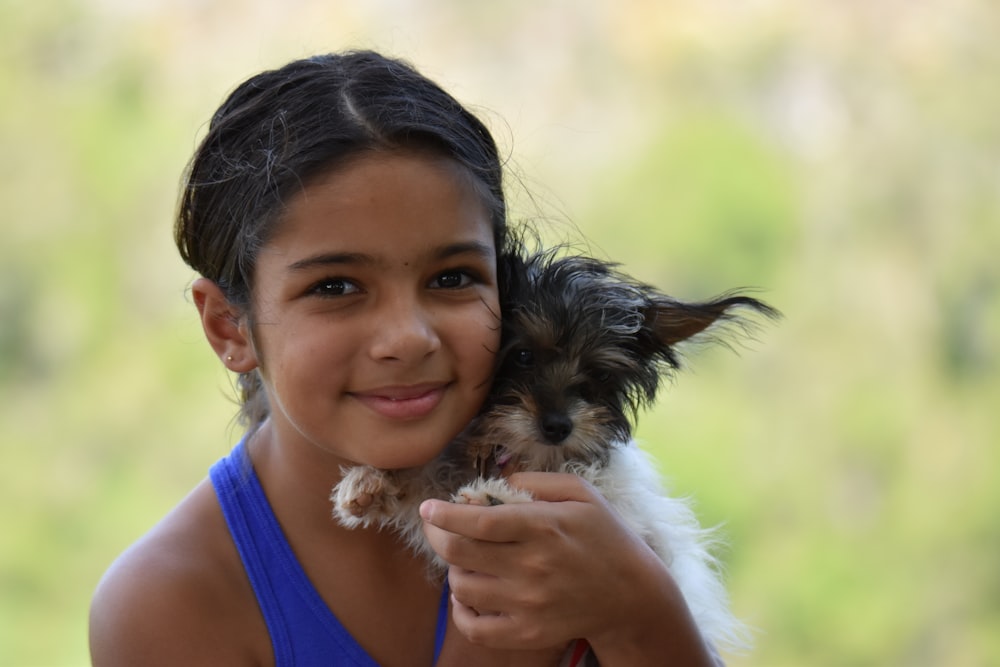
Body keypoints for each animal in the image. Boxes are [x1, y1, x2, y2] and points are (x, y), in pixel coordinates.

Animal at [332, 248, 776, 656]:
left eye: (600, 373)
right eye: (523, 355)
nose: (559, 427)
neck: (528, 456)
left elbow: (583, 485)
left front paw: (498, 498)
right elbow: (429, 477)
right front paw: (369, 482)